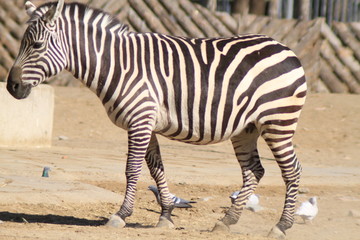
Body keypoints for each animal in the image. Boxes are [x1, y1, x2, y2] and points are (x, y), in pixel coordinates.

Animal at [6, 0, 306, 236]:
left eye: (37, 45)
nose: (11, 87)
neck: (118, 65)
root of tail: (284, 47)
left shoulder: (139, 121)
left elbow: (132, 169)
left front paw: (121, 215)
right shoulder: (147, 124)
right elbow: (156, 169)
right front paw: (166, 216)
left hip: (278, 121)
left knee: (292, 170)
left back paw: (281, 226)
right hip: (247, 128)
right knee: (254, 170)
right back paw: (227, 221)